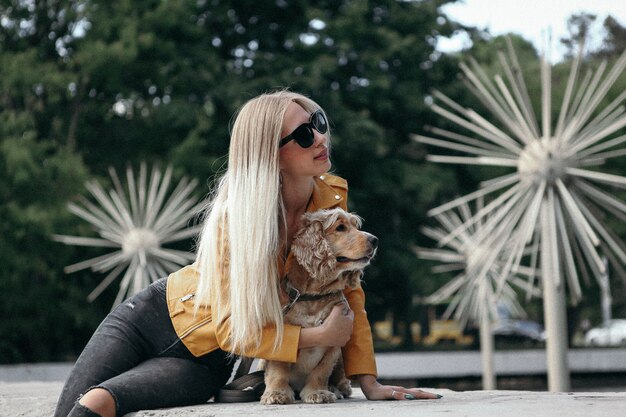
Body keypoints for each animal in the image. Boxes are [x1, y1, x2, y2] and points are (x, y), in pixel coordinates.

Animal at [258, 208, 376, 404]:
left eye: (355, 225)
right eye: (340, 227)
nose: (375, 240)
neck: (314, 297)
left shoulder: (335, 342)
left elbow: (321, 371)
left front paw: (318, 393)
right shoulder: (281, 334)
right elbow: (278, 369)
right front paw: (277, 393)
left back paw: (335, 389)